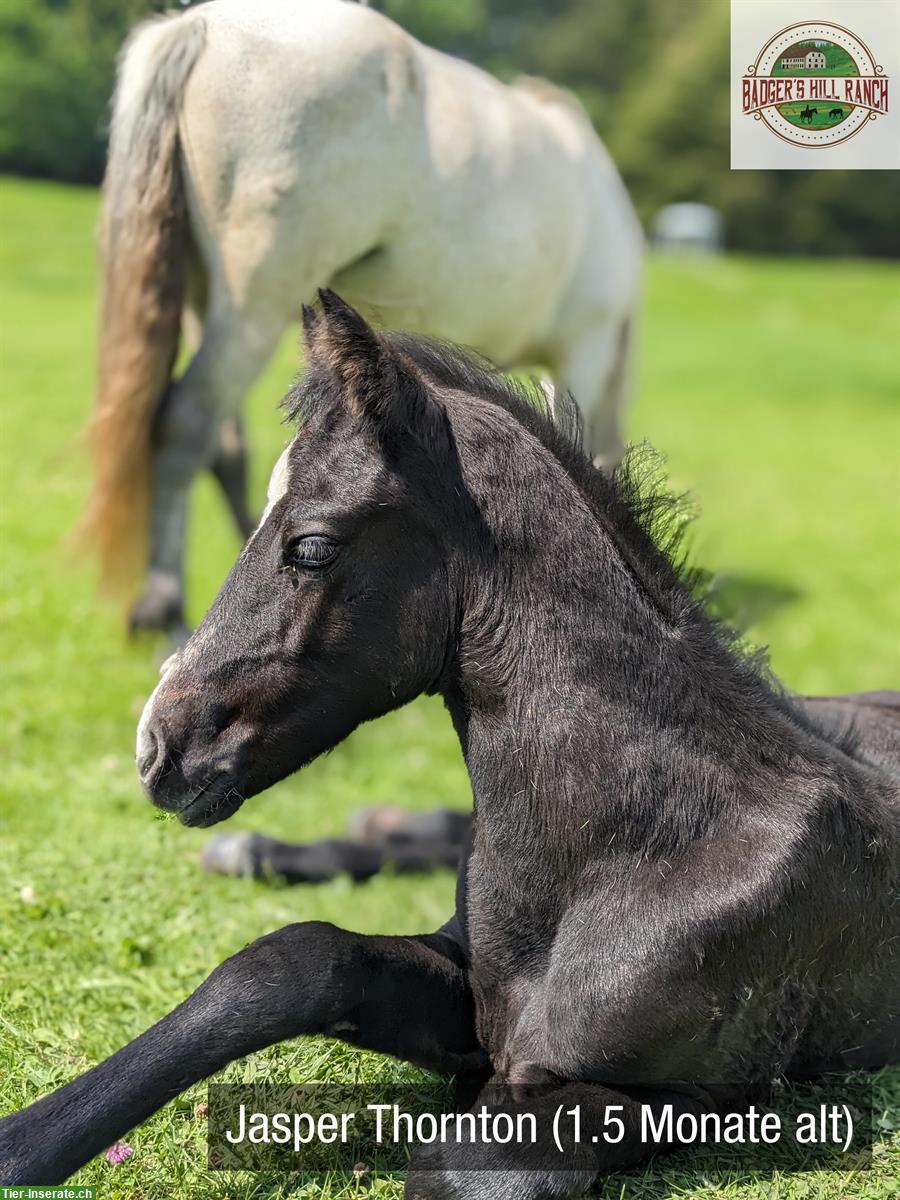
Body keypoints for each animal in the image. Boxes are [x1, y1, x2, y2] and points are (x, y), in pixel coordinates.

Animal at [1, 292, 900, 1200]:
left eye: (312, 546)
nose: (159, 747)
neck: (647, 845)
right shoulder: (462, 989)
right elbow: (294, 962)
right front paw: (25, 1141)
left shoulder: (690, 1093)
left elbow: (454, 1164)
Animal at [82, 0, 643, 638]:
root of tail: (203, 27)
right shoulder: (583, 354)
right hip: (252, 311)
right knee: (185, 429)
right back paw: (168, 612)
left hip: (208, 306)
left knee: (222, 448)